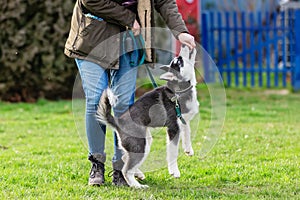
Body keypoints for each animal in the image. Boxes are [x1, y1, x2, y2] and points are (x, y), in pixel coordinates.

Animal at [96, 45, 199, 188]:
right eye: (179, 62)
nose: (184, 45)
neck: (180, 91)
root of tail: (117, 120)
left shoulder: (183, 121)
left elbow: (187, 134)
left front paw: (188, 150)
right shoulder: (173, 128)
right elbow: (173, 152)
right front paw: (174, 171)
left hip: (145, 141)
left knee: (125, 158)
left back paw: (138, 174)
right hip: (141, 144)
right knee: (126, 169)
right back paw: (137, 186)